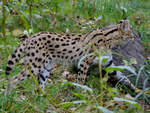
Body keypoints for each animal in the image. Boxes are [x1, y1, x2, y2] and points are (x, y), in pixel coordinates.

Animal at [5, 19, 137, 93]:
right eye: (131, 32)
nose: (135, 37)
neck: (109, 39)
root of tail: (30, 37)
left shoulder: (108, 64)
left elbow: (124, 78)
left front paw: (137, 91)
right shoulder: (84, 62)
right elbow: (81, 80)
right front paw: (81, 94)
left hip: (45, 68)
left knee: (39, 86)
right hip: (35, 66)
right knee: (13, 79)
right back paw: (8, 96)